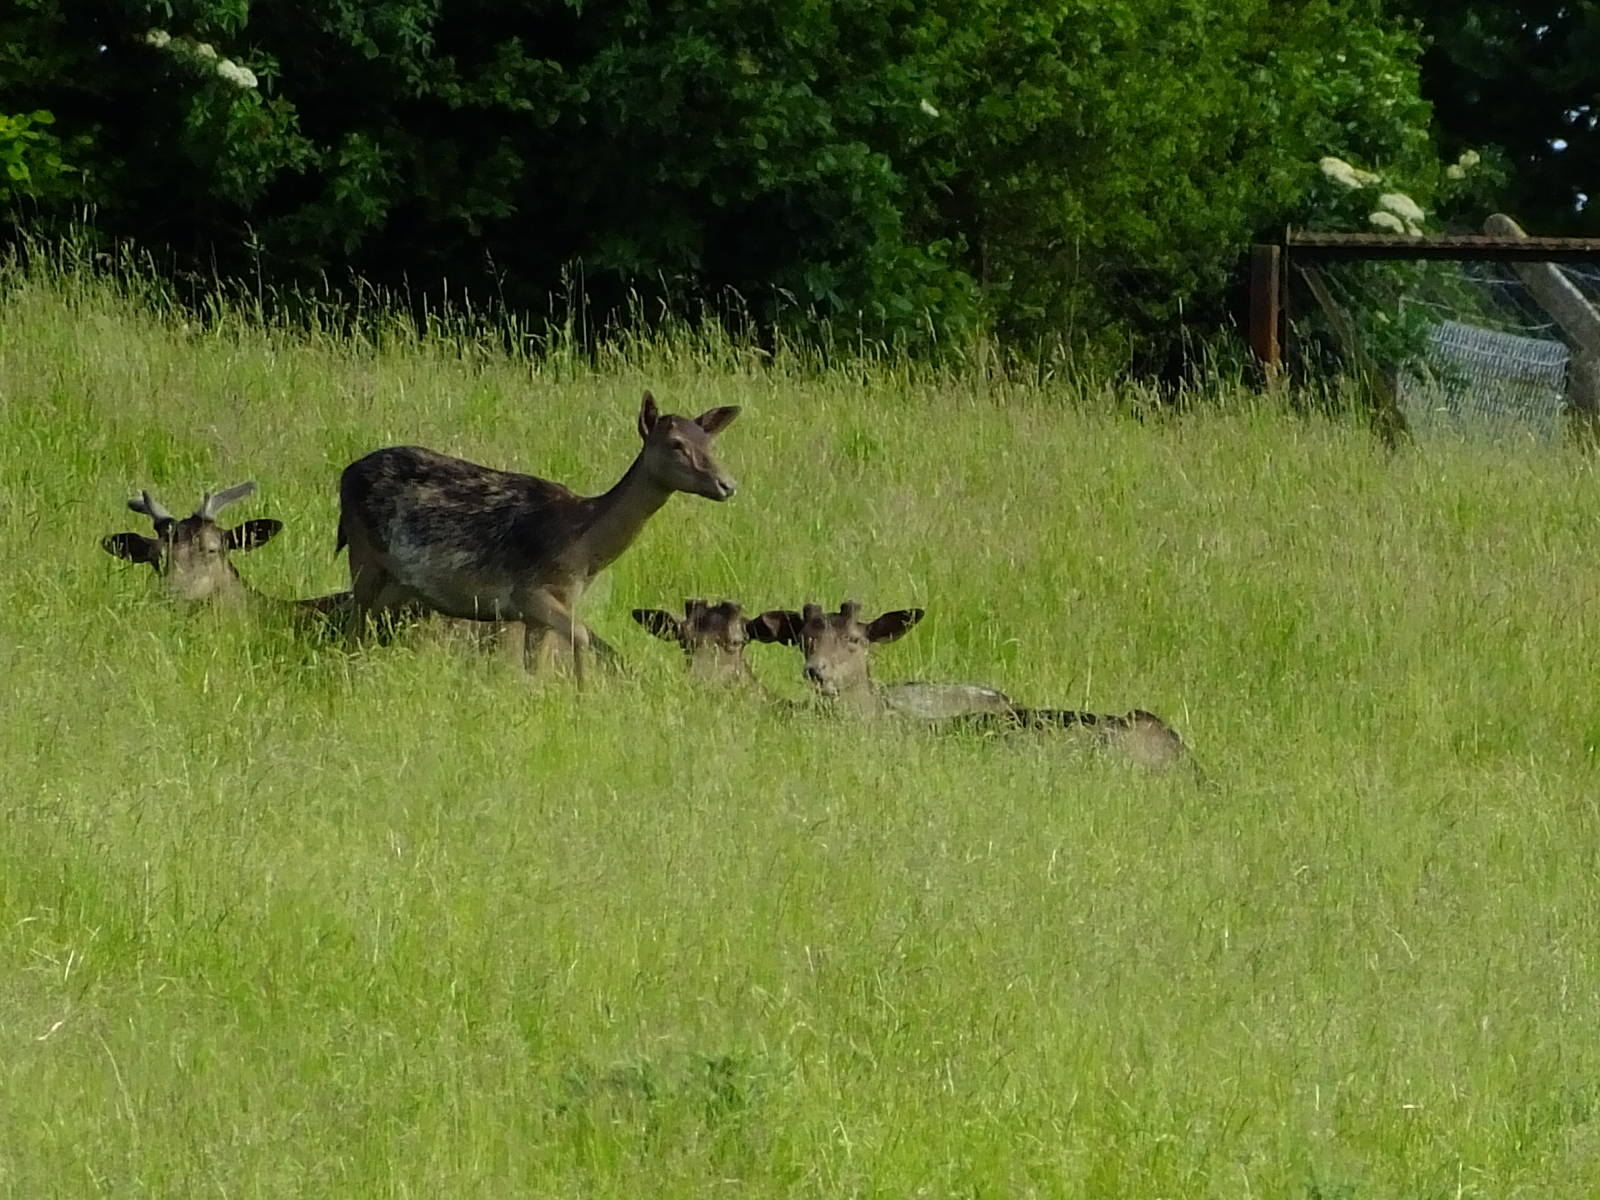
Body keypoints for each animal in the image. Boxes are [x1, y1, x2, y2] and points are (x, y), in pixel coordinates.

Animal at [335, 391, 740, 684]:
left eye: (710, 443)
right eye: (675, 444)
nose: (728, 485)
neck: (584, 551)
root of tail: (345, 474)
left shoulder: (541, 612)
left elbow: (536, 665)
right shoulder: (527, 591)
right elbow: (582, 634)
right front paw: (582, 695)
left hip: (397, 582)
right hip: (363, 554)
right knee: (354, 625)